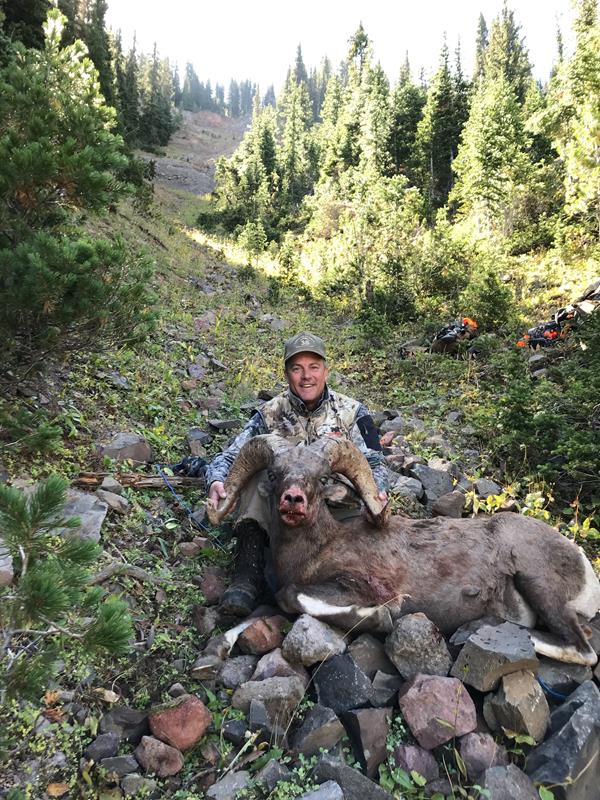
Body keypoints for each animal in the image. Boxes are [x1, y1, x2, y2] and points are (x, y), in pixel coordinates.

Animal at [207, 434, 600, 666]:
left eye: (322, 479)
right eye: (274, 474)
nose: (293, 500)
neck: (316, 550)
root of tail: (584, 567)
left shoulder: (358, 587)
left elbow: (291, 597)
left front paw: (380, 618)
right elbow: (259, 612)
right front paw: (218, 651)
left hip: (538, 583)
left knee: (583, 649)